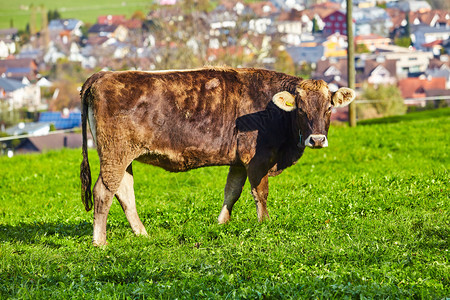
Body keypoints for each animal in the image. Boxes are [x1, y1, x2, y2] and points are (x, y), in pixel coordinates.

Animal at [81, 67, 356, 245]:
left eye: (329, 107)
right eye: (300, 109)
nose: (317, 140)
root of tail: (103, 74)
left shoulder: (239, 161)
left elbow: (232, 191)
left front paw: (222, 222)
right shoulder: (257, 158)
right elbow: (260, 192)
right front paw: (265, 223)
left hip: (122, 157)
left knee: (124, 192)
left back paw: (142, 234)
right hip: (115, 153)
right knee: (104, 192)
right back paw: (100, 241)